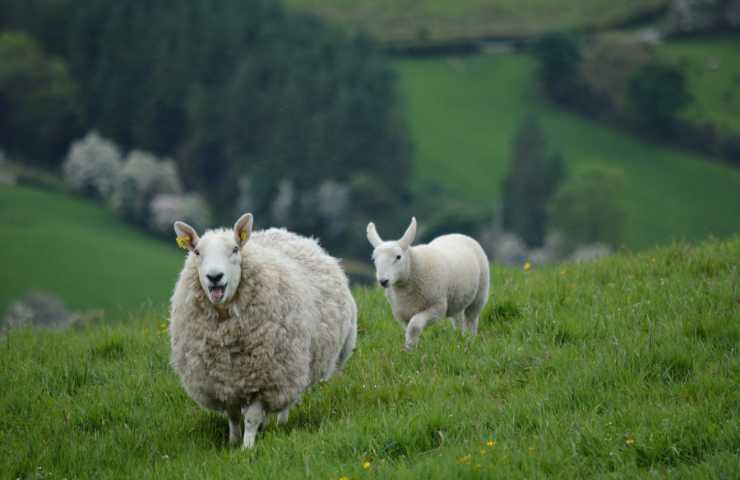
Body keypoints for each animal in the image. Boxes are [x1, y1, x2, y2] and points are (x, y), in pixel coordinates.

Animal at [172, 212, 360, 448]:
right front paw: (233, 442)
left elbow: (251, 417)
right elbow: (233, 416)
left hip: (293, 365)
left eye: (235, 249)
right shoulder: (223, 383)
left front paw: (247, 447)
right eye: (197, 252)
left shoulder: (266, 379)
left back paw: (280, 422)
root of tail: (289, 234)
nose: (214, 277)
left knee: (288, 398)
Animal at [366, 217, 492, 348]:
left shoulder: (436, 307)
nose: (383, 281)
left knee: (472, 319)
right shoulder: (402, 314)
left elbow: (414, 326)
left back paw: (470, 339)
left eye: (398, 257)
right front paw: (410, 347)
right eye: (373, 259)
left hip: (480, 294)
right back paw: (460, 338)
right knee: (458, 319)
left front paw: (410, 348)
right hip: (457, 298)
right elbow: (409, 329)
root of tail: (457, 234)